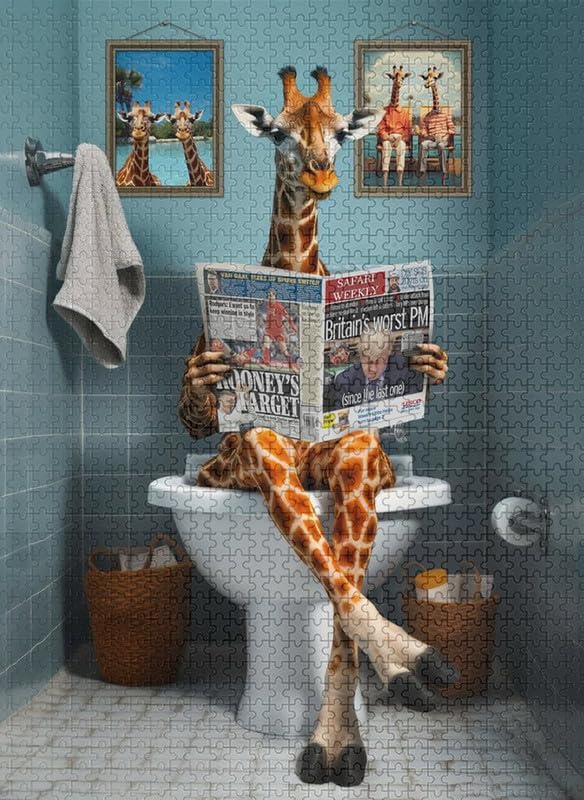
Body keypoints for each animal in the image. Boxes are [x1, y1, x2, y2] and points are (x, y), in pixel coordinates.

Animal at [179, 66, 454, 787]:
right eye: (277, 131)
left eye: (339, 133)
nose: (323, 174)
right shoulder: (245, 425)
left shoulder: (358, 440)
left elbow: (342, 586)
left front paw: (338, 741)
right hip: (244, 459)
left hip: (354, 451)